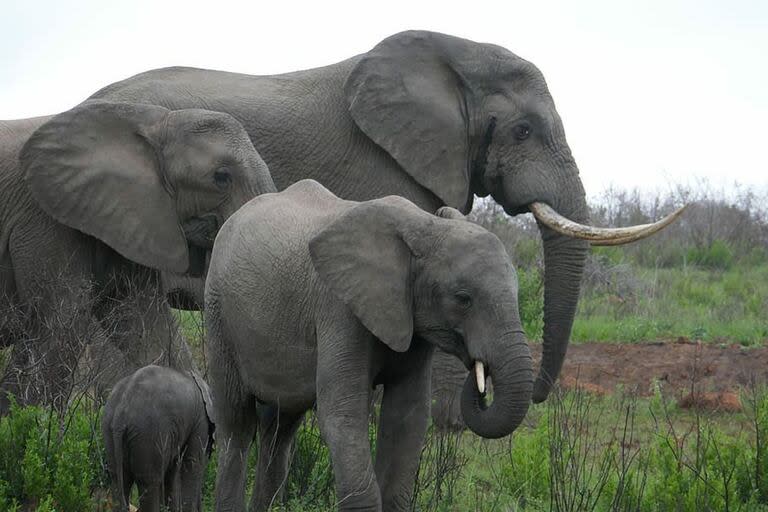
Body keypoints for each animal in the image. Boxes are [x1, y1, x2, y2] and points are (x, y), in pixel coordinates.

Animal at [102, 366, 216, 512]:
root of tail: (121, 411)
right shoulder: (200, 420)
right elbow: (192, 462)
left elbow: (172, 469)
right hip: (148, 433)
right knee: (149, 482)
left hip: (109, 428)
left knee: (119, 477)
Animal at [204, 178, 536, 510]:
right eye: (463, 298)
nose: (480, 374)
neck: (426, 225)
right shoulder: (339, 308)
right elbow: (343, 413)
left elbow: (407, 417)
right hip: (219, 315)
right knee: (237, 424)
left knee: (279, 427)